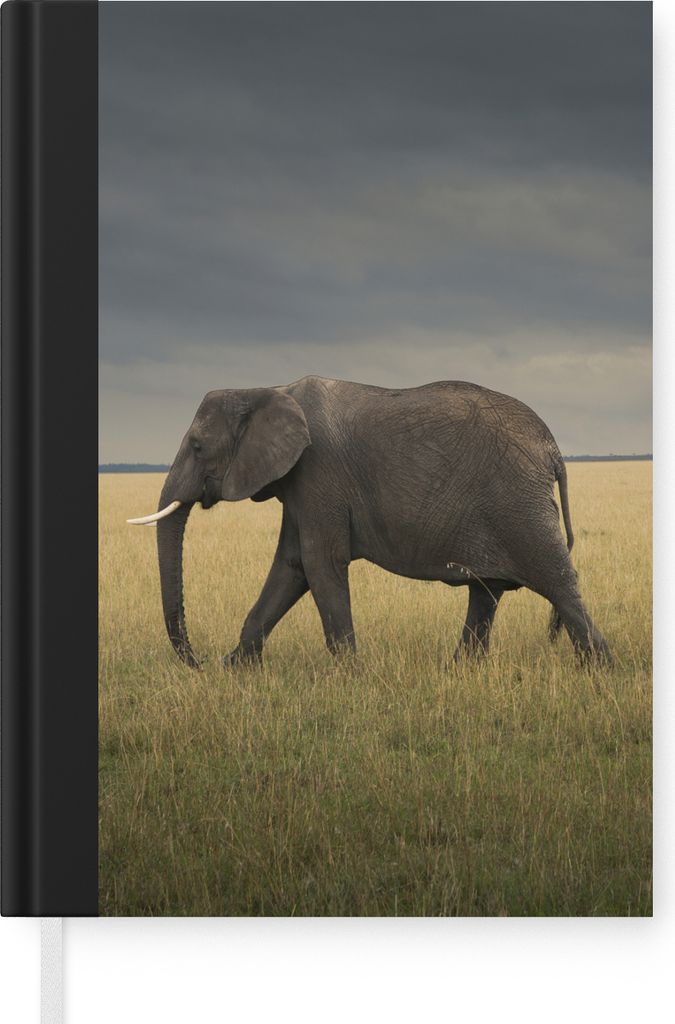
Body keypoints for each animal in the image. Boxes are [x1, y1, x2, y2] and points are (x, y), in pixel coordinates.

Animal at [128, 375, 611, 668]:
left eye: (196, 446)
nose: (199, 661)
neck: (266, 389)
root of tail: (553, 450)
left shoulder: (318, 473)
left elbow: (319, 564)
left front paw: (349, 676)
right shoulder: (299, 483)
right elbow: (291, 567)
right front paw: (235, 668)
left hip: (518, 503)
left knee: (557, 582)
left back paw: (598, 672)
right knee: (486, 591)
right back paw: (459, 670)